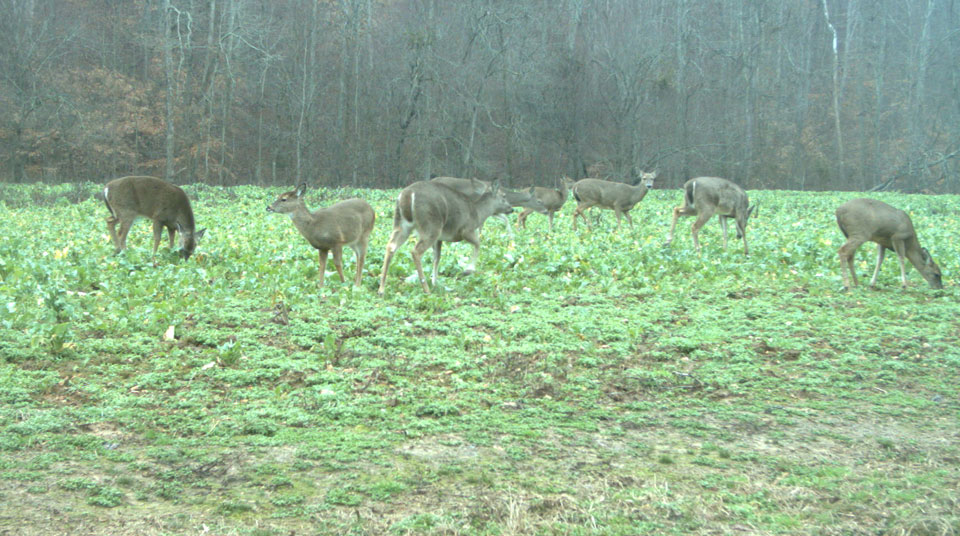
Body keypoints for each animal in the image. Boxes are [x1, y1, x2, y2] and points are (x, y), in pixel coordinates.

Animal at [376, 179, 516, 296]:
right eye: (504, 196)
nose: (511, 209)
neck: (478, 214)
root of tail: (408, 195)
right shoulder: (466, 230)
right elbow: (478, 243)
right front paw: (468, 270)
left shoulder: (440, 238)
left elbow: (437, 258)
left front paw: (435, 282)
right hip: (431, 226)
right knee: (415, 251)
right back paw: (426, 289)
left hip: (401, 223)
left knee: (391, 246)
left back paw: (381, 289)